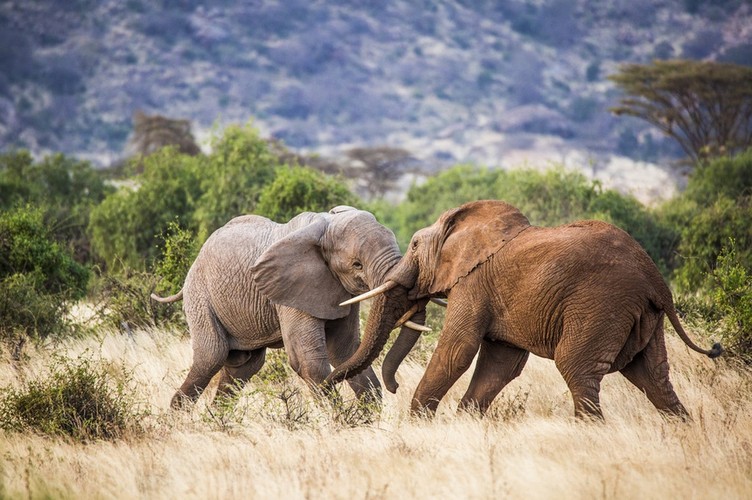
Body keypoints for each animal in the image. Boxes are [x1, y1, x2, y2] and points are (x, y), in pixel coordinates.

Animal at [151, 205, 428, 408]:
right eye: (357, 264)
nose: (396, 388)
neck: (325, 225)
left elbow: (346, 352)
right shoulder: (289, 291)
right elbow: (307, 361)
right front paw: (341, 424)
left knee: (244, 366)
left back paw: (218, 420)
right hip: (200, 295)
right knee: (211, 357)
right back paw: (178, 421)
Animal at [330, 201, 724, 420]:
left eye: (413, 245)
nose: (394, 388)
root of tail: (656, 280)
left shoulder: (474, 282)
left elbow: (458, 350)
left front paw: (419, 425)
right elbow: (500, 364)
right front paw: (465, 425)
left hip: (603, 305)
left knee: (577, 366)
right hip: (643, 316)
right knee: (652, 376)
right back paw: (684, 432)